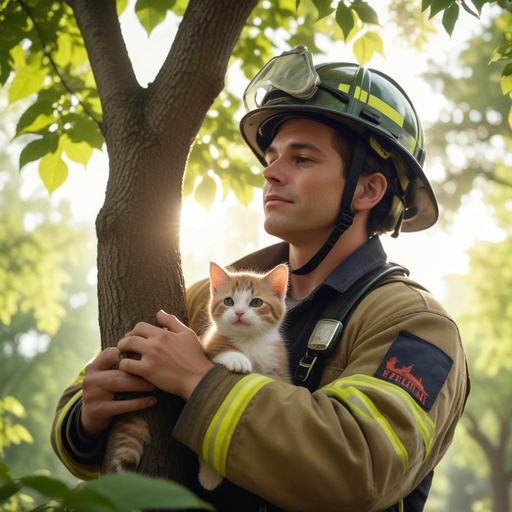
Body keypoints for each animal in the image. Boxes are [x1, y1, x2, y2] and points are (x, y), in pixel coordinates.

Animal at [197, 262, 290, 490]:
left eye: (256, 302)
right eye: (228, 301)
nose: (239, 312)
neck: (249, 342)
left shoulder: (277, 365)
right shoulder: (207, 346)